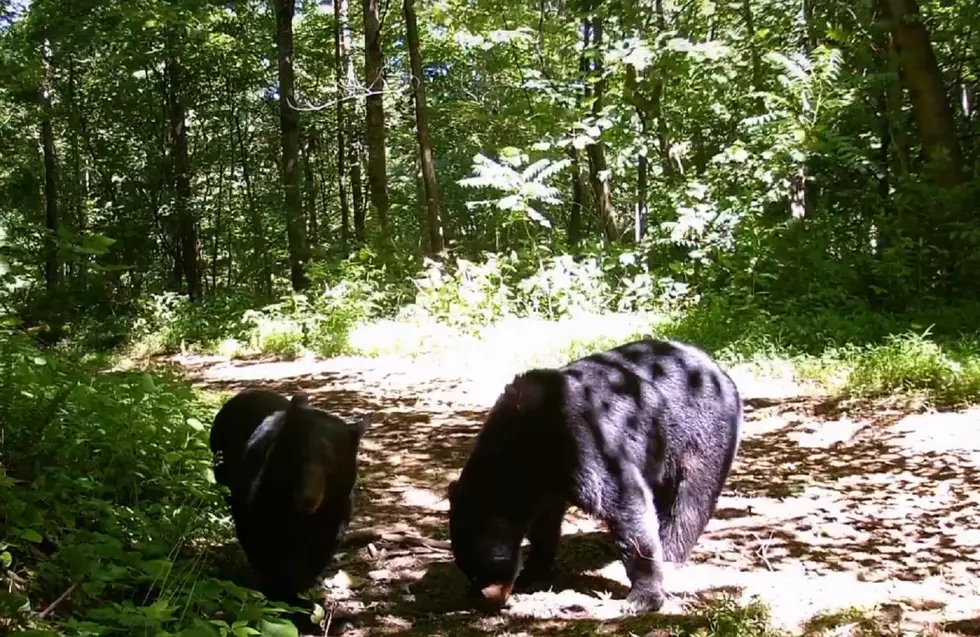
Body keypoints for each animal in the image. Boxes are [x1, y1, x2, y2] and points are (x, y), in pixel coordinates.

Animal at [209, 386, 374, 604]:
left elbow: (320, 547)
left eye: (331, 463)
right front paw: (277, 589)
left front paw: (301, 589)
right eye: (299, 456)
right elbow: (261, 538)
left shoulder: (335, 509)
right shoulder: (262, 495)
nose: (308, 498)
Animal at [448, 338, 740, 612]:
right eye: (468, 568)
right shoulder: (549, 482)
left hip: (700, 435)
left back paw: (670, 554)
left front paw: (642, 597)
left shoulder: (585, 441)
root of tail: (721, 372)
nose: (487, 597)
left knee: (690, 501)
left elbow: (625, 504)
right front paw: (533, 570)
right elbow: (545, 523)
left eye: (483, 565)